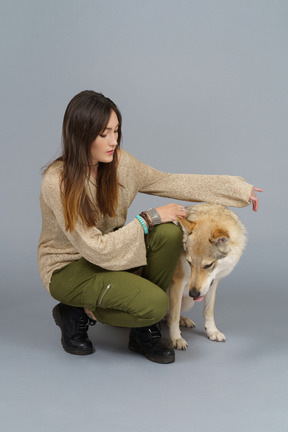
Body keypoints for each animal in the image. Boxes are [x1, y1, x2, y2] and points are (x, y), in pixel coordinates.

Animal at [166, 203, 245, 352]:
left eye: (208, 265)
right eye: (189, 262)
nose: (193, 294)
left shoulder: (213, 283)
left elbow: (209, 311)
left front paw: (212, 331)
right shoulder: (178, 282)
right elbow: (174, 316)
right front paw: (176, 339)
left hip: (188, 302)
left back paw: (184, 320)